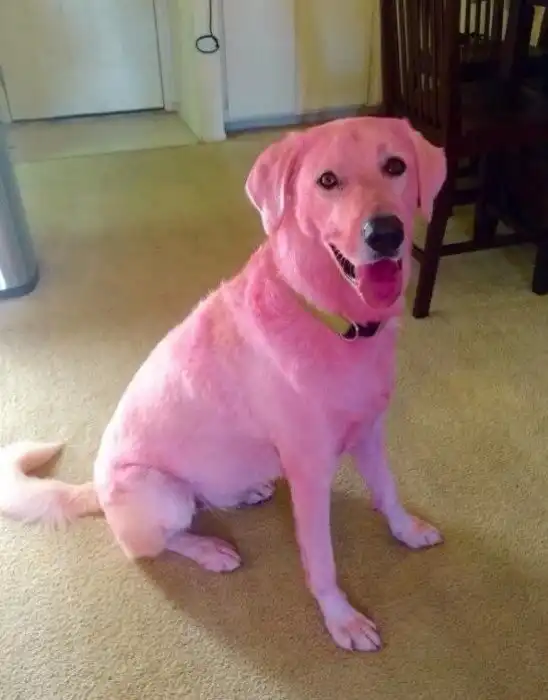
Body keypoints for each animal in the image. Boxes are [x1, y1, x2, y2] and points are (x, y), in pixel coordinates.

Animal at [0, 117, 446, 652]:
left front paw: (407, 530)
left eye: (395, 166)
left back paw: (245, 491)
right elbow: (321, 560)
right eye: (327, 181)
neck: (330, 318)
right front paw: (341, 619)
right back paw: (208, 549)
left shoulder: (370, 433)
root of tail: (96, 491)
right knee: (154, 545)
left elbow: (389, 492)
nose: (385, 233)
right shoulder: (310, 473)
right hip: (160, 492)